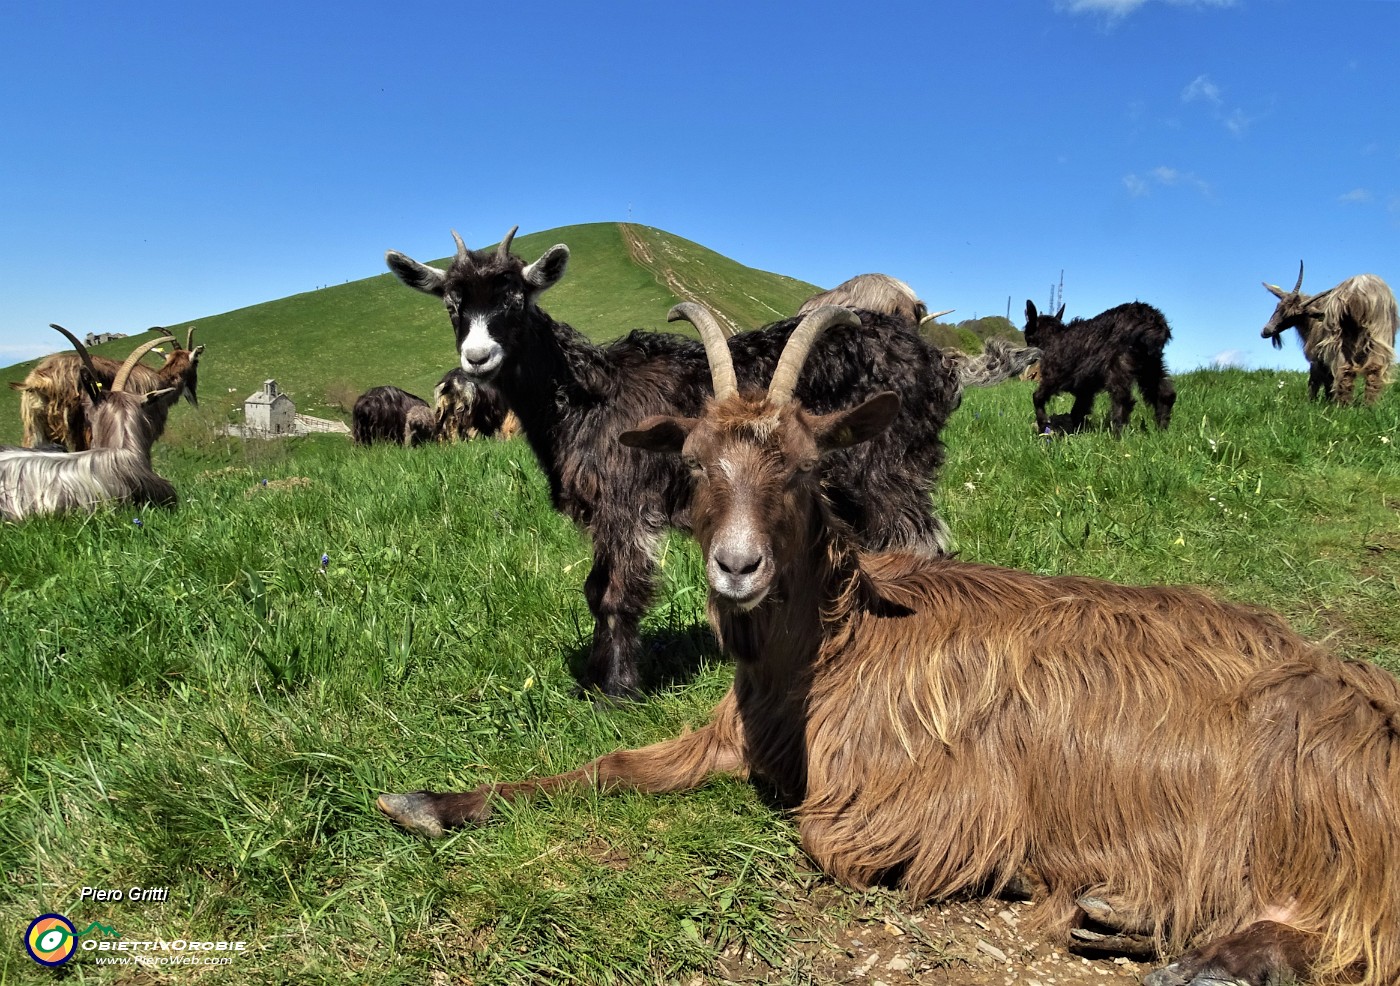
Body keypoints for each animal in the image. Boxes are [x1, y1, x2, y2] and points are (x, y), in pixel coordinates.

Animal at [1024, 298, 1176, 434]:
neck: (1053, 337)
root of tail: (1150, 319)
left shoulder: (1053, 378)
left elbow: (1037, 397)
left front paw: (1043, 423)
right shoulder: (1085, 390)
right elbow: (1077, 412)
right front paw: (1078, 433)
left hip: (1120, 365)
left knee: (1123, 401)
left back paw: (1118, 437)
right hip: (1151, 366)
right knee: (1165, 395)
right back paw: (1162, 431)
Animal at [1265, 261, 1394, 403]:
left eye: (1294, 316)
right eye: (1278, 306)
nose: (1266, 331)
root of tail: (1359, 292)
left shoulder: (1317, 359)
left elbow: (1316, 382)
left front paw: (1314, 402)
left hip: (1341, 341)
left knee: (1345, 370)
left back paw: (1343, 405)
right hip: (1379, 338)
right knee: (1374, 369)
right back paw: (1369, 405)